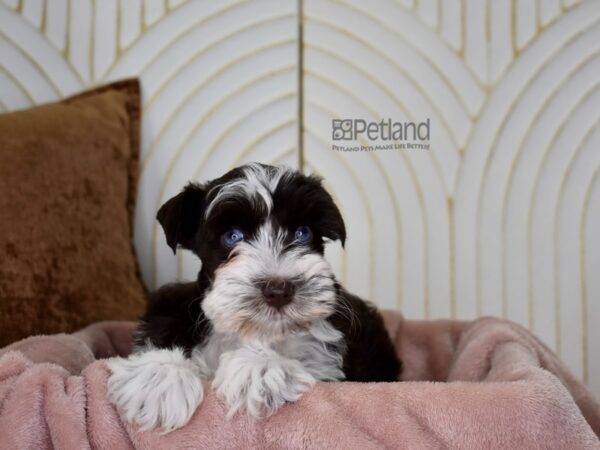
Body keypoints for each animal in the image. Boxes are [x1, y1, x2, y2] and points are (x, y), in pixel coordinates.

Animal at [108, 163, 400, 432]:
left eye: (303, 233)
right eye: (232, 236)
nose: (279, 289)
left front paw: (259, 366)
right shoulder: (171, 307)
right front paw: (159, 377)